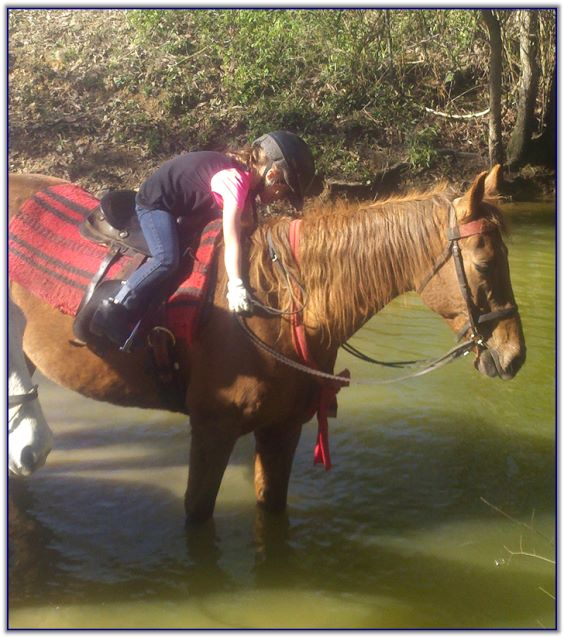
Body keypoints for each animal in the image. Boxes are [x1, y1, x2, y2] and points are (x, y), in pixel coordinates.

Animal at [8, 169, 528, 524]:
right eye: (485, 263)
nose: (514, 355)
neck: (280, 305)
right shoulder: (213, 430)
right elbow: (198, 512)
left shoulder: (284, 429)